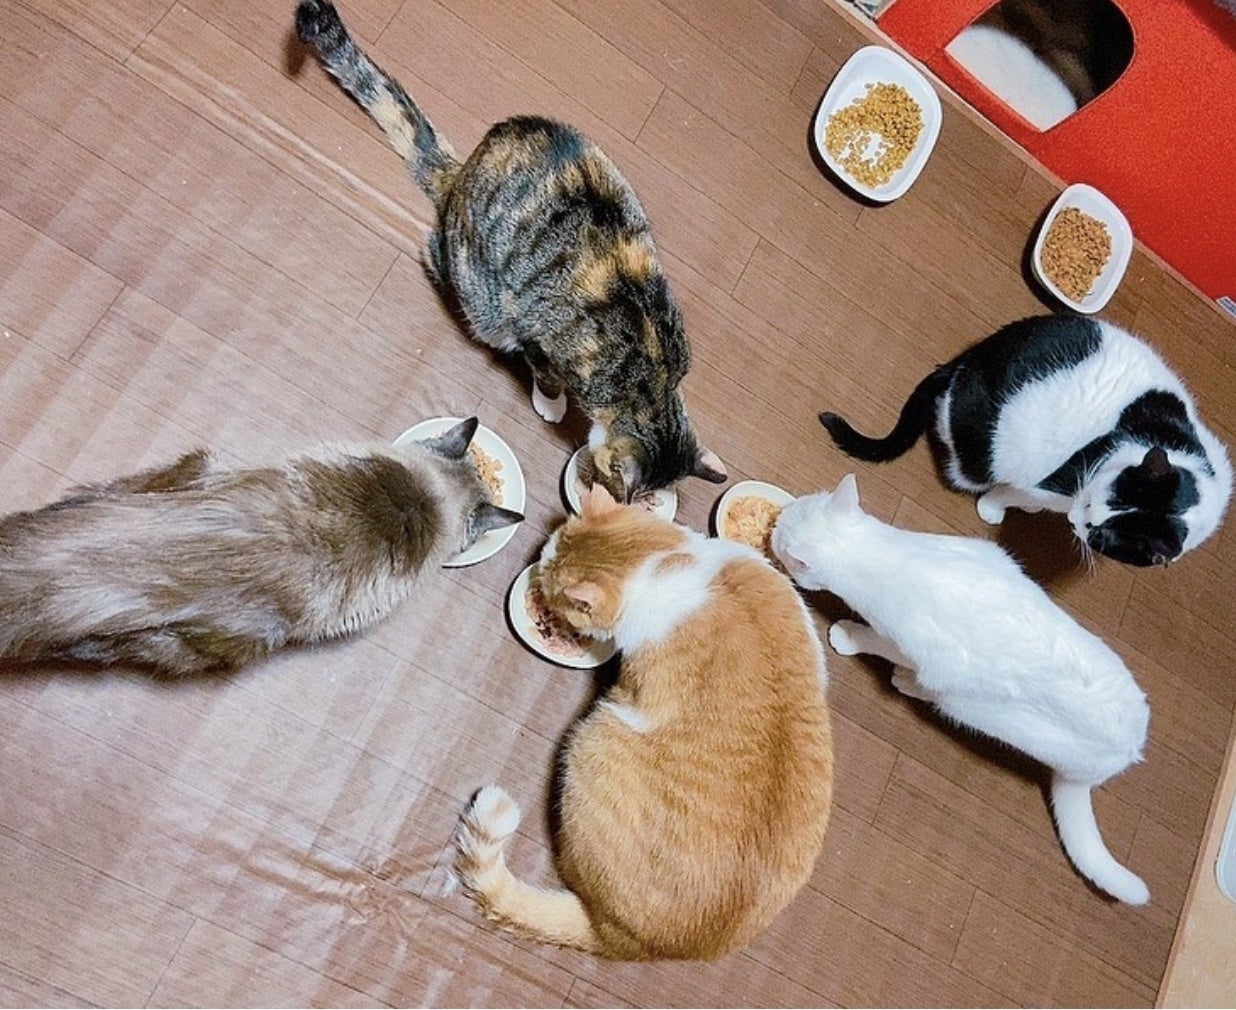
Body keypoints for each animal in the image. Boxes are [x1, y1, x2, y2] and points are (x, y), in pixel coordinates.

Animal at [295, 0, 727, 503]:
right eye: (620, 489)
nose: (621, 500)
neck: (653, 375)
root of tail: (464, 171)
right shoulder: (540, 337)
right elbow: (547, 374)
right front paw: (551, 404)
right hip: (482, 298)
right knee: (437, 254)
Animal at [771, 474, 1151, 905]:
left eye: (781, 535)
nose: (776, 518)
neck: (882, 556)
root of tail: (1117, 760)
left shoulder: (921, 651)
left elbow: (878, 642)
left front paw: (849, 635)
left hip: (969, 705)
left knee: (937, 693)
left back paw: (907, 682)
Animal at [819, 314, 1233, 567]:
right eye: (1092, 514)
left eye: (1102, 538)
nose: (1075, 521)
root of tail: (965, 361)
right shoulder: (1057, 480)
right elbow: (1019, 493)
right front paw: (996, 507)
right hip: (984, 454)